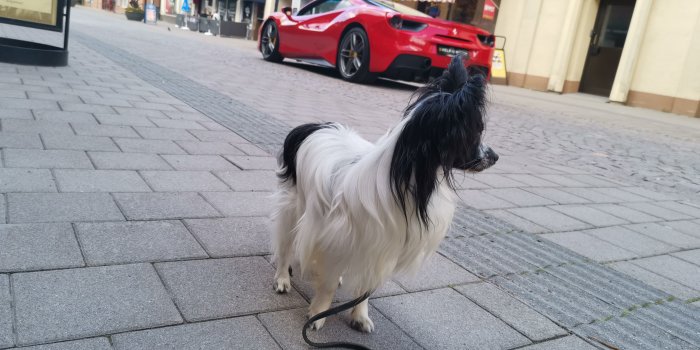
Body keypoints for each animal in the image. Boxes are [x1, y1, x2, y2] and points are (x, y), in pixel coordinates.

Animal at [270, 54, 494, 334]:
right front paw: (318, 314)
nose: (495, 157)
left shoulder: (381, 246)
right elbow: (328, 285)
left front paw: (359, 315)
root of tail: (312, 127)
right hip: (293, 206)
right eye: (475, 133)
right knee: (285, 244)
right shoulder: (335, 237)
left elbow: (366, 289)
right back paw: (282, 278)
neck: (402, 177)